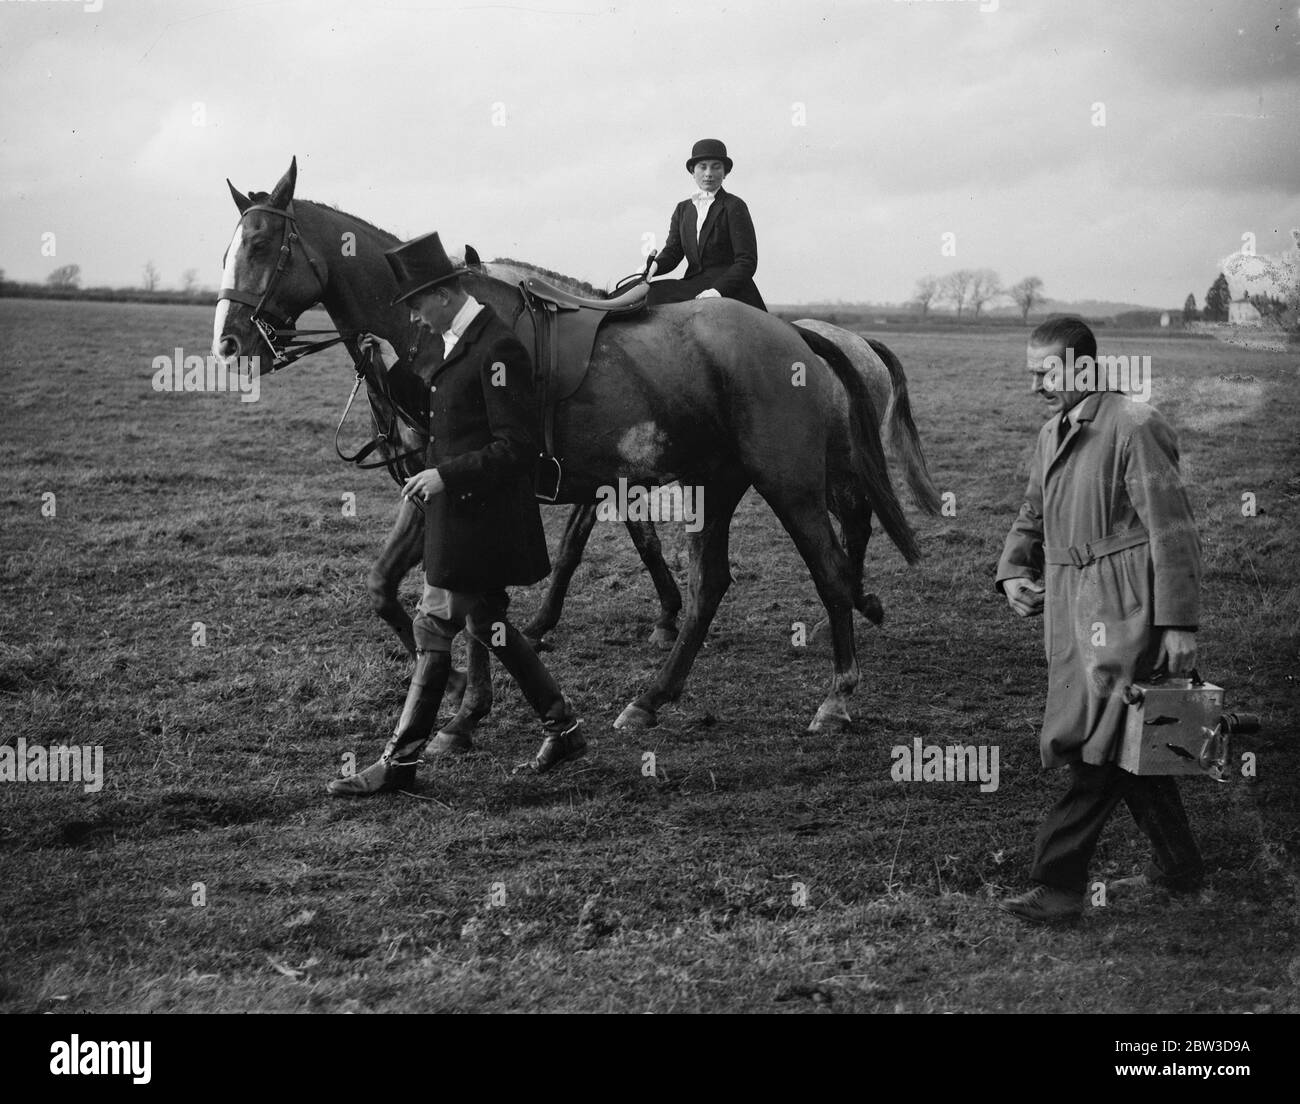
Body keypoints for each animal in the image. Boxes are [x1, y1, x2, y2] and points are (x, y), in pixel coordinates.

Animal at [218, 157, 941, 733]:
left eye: (264, 245)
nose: (229, 341)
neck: (437, 335)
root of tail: (800, 335)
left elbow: (516, 577)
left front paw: (473, 686)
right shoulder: (447, 484)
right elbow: (386, 584)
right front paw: (461, 682)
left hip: (791, 482)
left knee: (832, 565)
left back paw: (838, 692)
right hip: (716, 482)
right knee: (712, 583)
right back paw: (653, 697)